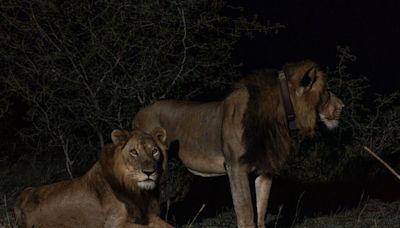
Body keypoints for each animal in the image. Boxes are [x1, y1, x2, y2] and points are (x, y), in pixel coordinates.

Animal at [13, 127, 173, 227]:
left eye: (154, 151)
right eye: (134, 152)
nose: (149, 172)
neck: (137, 191)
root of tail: (21, 197)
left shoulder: (149, 216)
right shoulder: (114, 224)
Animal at [132, 59, 344, 227]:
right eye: (326, 91)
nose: (342, 106)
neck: (280, 117)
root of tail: (139, 113)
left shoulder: (265, 169)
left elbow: (260, 212)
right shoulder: (236, 167)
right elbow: (246, 213)